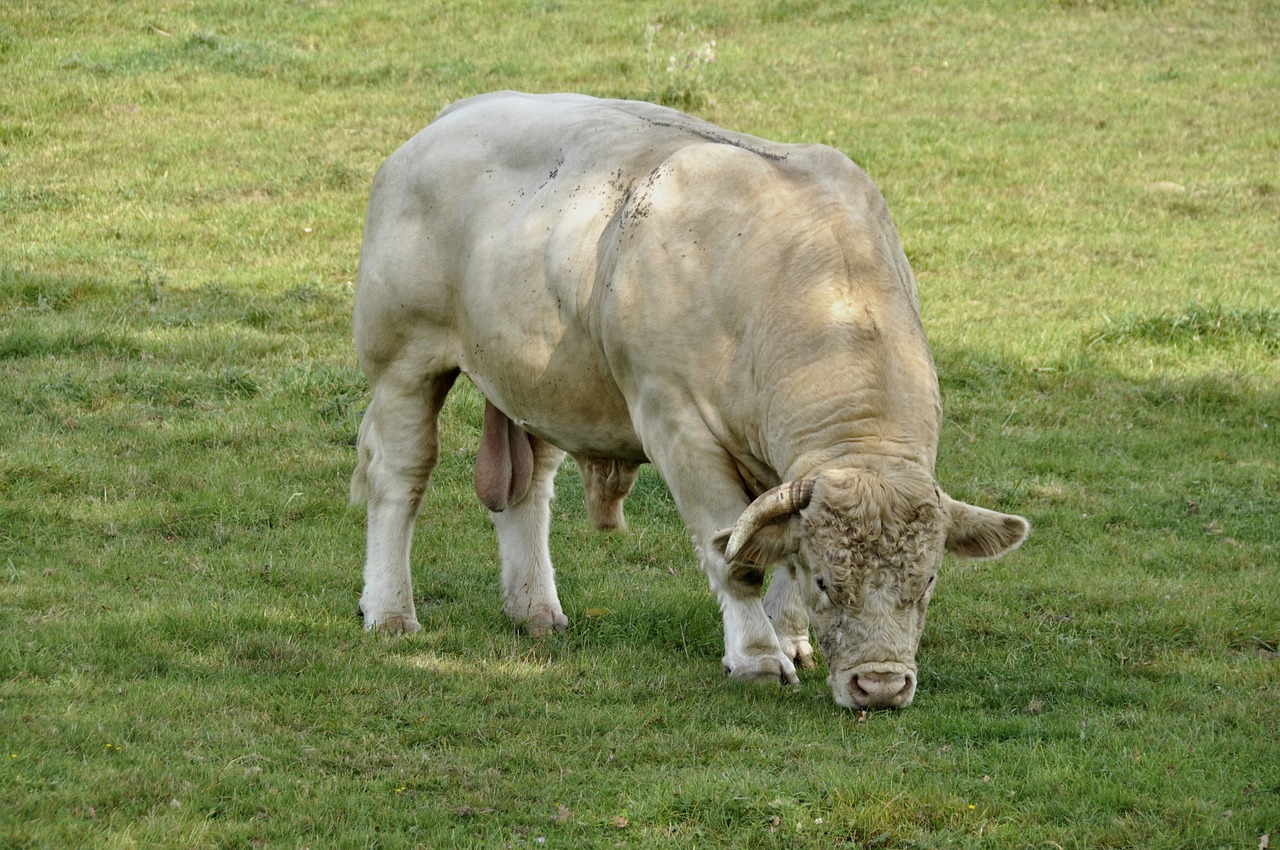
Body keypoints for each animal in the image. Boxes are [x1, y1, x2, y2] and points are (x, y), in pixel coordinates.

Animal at [350, 89, 1029, 706]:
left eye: (929, 579)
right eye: (828, 582)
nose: (882, 686)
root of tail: (455, 113)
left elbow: (774, 536)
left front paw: (791, 638)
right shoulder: (675, 425)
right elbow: (734, 554)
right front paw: (757, 654)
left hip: (541, 382)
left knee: (527, 490)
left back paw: (535, 609)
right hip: (403, 360)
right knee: (400, 478)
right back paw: (390, 611)